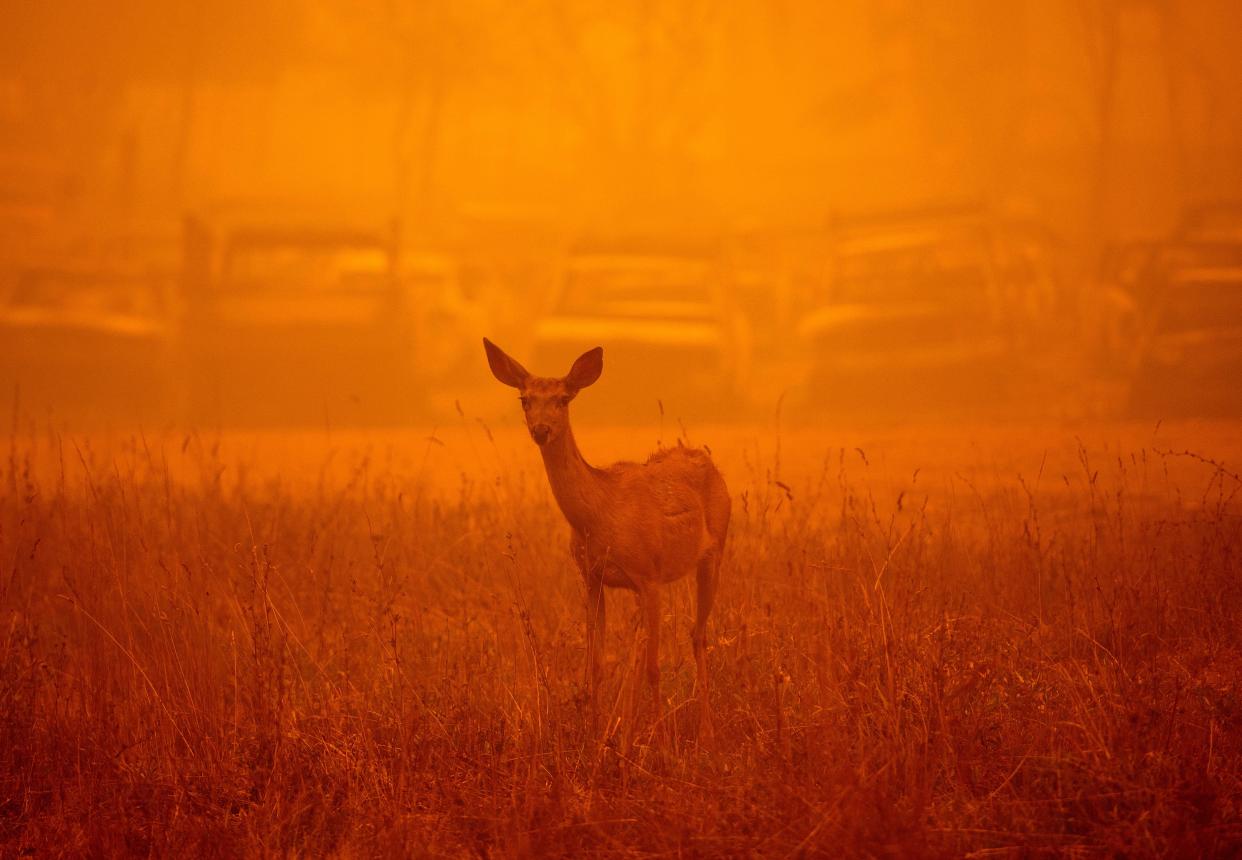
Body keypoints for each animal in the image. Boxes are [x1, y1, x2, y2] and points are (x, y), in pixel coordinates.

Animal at [481, 340, 730, 735]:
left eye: (563, 398)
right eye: (524, 398)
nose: (541, 430)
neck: (599, 515)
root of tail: (705, 459)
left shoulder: (650, 576)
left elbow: (653, 667)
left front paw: (662, 741)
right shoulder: (593, 578)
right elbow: (596, 665)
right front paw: (595, 732)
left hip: (714, 552)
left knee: (696, 635)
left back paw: (705, 730)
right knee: (645, 648)